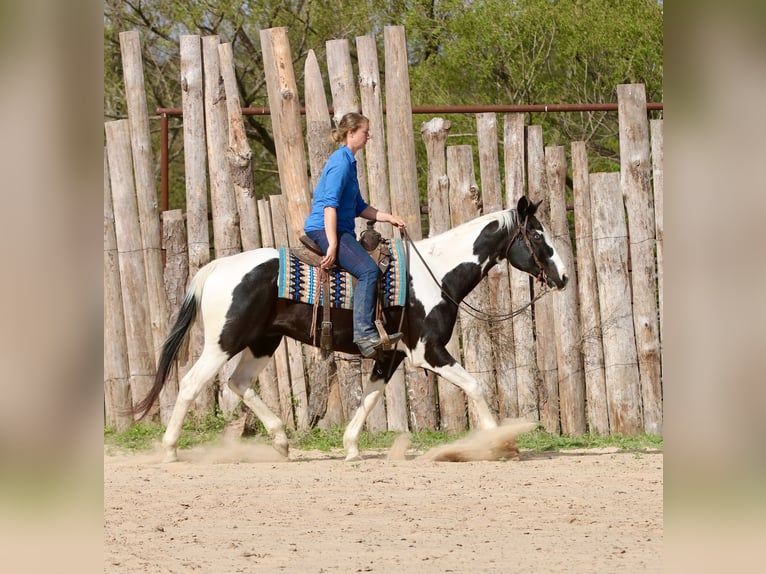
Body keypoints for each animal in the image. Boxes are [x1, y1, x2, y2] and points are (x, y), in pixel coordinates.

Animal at [135, 196, 568, 462]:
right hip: (224, 342)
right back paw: (170, 450)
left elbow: (371, 397)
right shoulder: (429, 351)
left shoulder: (390, 354)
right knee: (192, 383)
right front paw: (499, 444)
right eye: (537, 235)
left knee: (237, 384)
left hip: (263, 342)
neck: (435, 274)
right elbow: (475, 385)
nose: (563, 276)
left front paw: (351, 446)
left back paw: (281, 441)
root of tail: (217, 267)